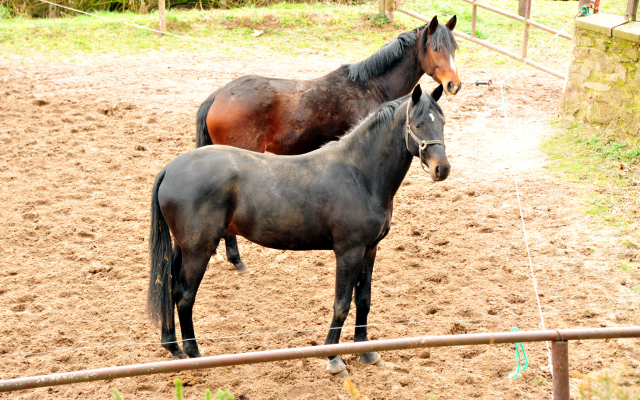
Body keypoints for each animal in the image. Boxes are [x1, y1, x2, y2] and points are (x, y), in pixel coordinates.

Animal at [149, 83, 450, 376]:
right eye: (418, 124)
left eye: (442, 122)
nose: (442, 169)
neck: (359, 174)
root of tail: (170, 169)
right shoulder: (349, 252)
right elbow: (342, 303)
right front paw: (333, 358)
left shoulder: (370, 250)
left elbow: (363, 300)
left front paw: (366, 352)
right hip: (198, 251)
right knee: (184, 297)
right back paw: (194, 355)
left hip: (184, 248)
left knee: (169, 288)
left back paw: (174, 348)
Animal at [196, 14, 460, 272]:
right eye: (436, 48)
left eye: (455, 47)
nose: (453, 85)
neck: (370, 86)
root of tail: (217, 96)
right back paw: (236, 260)